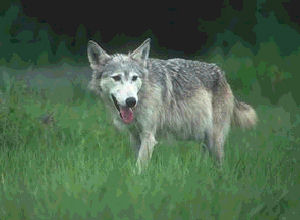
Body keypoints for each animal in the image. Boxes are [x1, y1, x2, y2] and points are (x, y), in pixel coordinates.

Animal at [86, 38, 258, 170]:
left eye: (134, 78)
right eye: (116, 78)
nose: (131, 101)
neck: (142, 95)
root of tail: (222, 74)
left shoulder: (149, 136)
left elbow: (139, 167)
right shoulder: (135, 136)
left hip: (214, 141)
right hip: (206, 140)